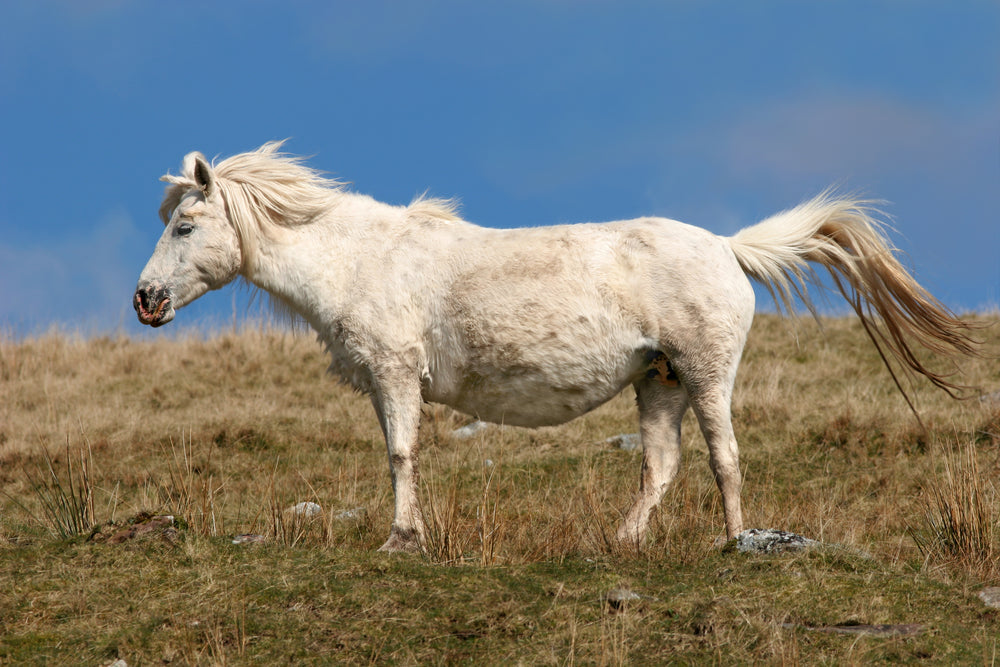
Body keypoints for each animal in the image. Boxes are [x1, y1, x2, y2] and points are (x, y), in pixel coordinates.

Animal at [134, 141, 978, 553]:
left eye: (186, 224)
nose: (144, 301)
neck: (358, 258)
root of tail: (729, 248)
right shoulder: (384, 382)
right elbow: (399, 455)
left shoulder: (396, 375)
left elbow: (402, 455)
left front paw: (401, 538)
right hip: (659, 380)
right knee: (662, 464)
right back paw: (624, 539)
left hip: (705, 375)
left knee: (723, 458)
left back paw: (737, 540)